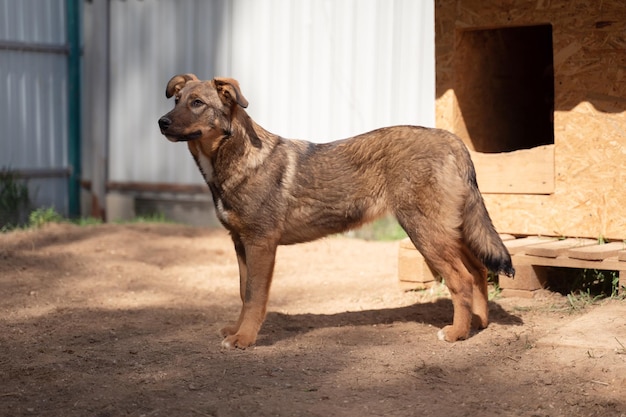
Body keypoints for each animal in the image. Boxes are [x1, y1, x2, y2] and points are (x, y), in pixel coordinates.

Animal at [157, 74, 512, 348]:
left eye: (197, 103)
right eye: (176, 100)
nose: (161, 122)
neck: (236, 157)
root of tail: (453, 141)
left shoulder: (261, 244)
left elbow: (255, 296)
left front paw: (244, 339)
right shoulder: (240, 243)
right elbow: (244, 294)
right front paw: (237, 330)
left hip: (426, 233)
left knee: (462, 279)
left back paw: (456, 333)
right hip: (448, 231)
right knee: (478, 271)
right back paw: (478, 325)